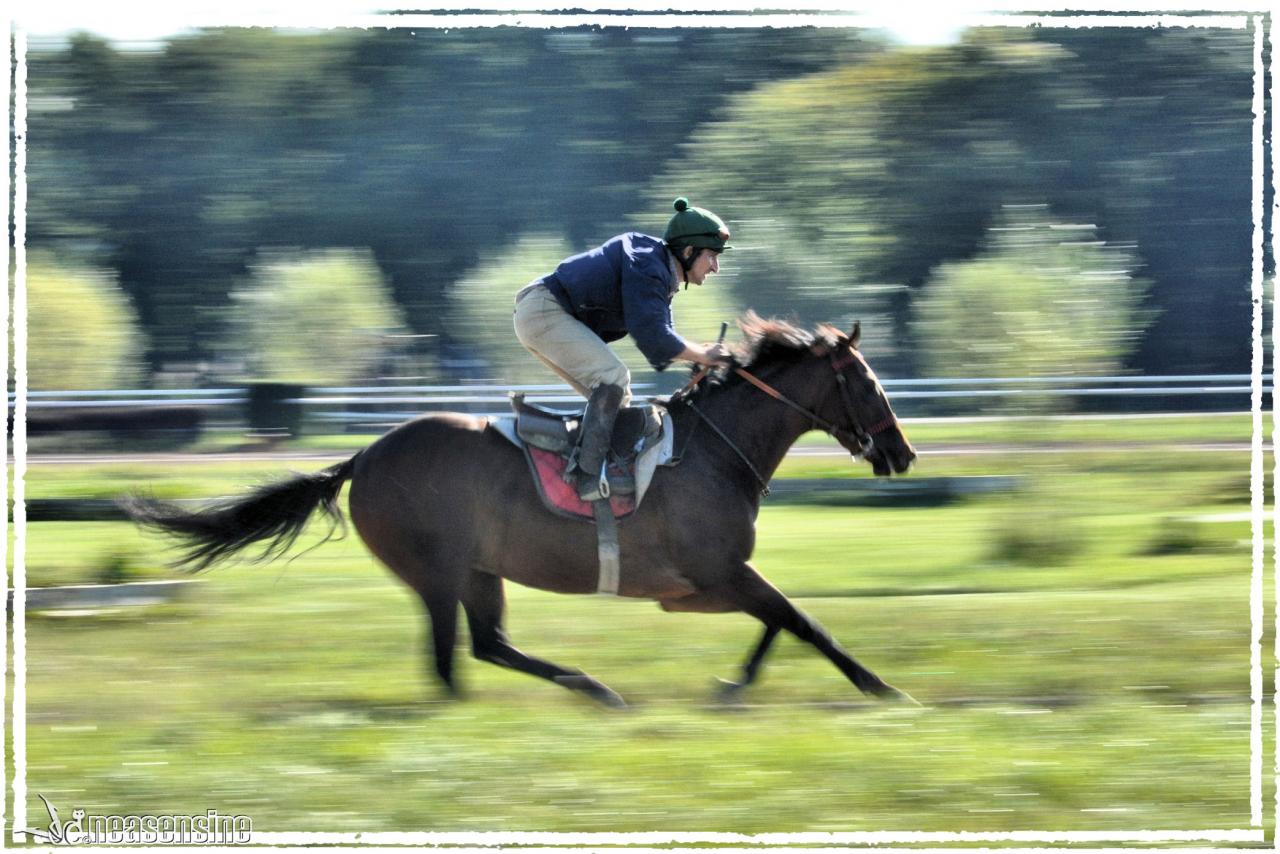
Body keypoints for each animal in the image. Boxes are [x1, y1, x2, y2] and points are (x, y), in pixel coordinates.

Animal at [122, 313, 921, 706]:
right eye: (868, 382)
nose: (902, 452)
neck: (711, 450)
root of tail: (364, 457)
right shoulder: (714, 576)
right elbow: (802, 620)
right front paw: (881, 686)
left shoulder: (703, 588)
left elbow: (782, 622)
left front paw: (736, 684)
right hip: (437, 568)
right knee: (454, 659)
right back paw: (574, 692)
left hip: (479, 569)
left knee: (486, 646)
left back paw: (590, 688)